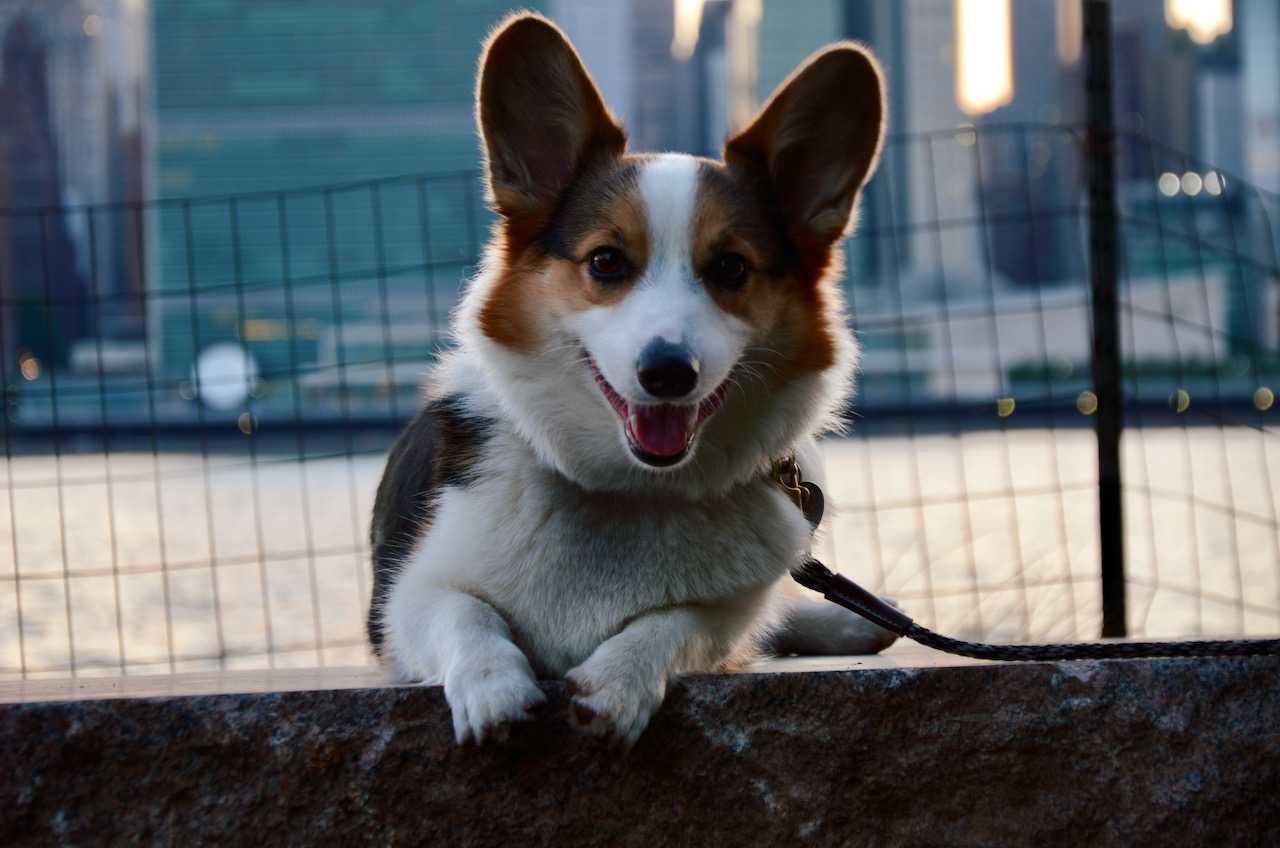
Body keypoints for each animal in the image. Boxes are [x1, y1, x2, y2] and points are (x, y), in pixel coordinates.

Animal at [366, 11, 896, 742]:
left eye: (730, 268)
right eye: (606, 262)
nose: (669, 371)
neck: (630, 489)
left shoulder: (726, 614)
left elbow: (683, 621)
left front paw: (619, 680)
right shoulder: (404, 603)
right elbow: (464, 613)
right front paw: (491, 687)